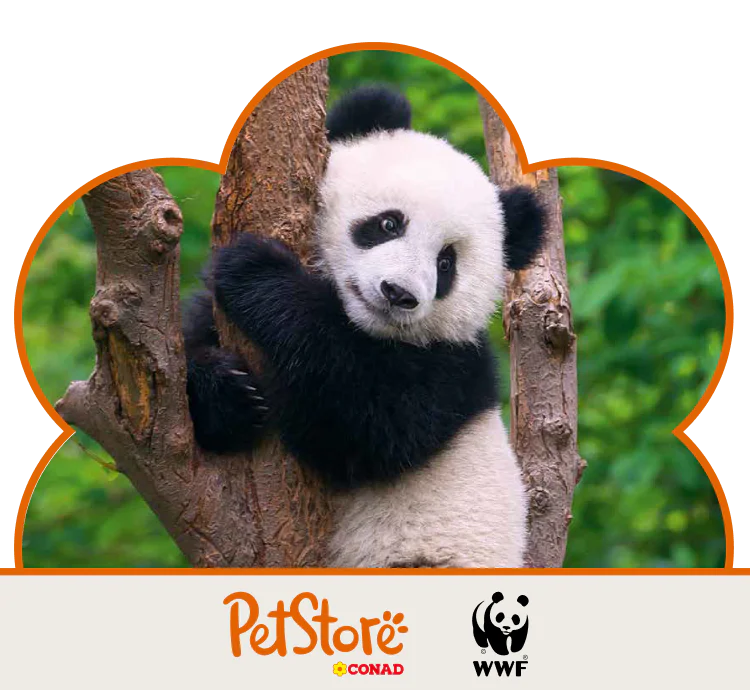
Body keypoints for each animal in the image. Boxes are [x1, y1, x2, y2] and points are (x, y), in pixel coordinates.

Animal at [182, 85, 546, 568]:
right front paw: (227, 395)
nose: (398, 293)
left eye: (445, 263)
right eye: (389, 223)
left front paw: (256, 271)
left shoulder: (451, 369)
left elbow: (366, 426)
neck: (361, 326)